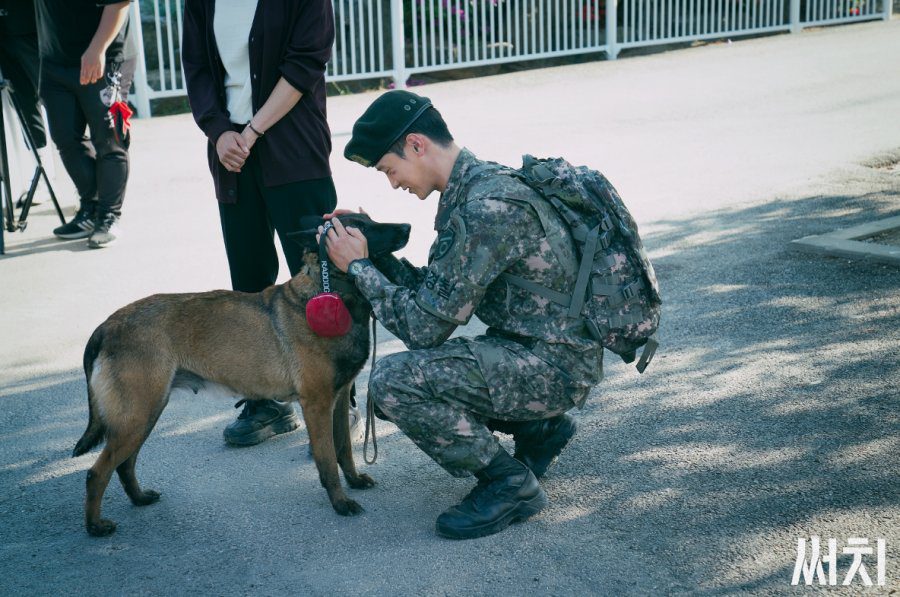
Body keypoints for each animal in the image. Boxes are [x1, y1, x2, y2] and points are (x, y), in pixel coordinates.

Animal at [74, 213, 412, 536]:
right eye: (362, 228)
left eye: (370, 220)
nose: (407, 226)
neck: (330, 294)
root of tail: (107, 325)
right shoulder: (317, 405)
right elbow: (328, 459)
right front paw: (340, 502)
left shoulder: (338, 400)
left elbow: (344, 450)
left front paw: (354, 481)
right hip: (137, 417)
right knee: (97, 472)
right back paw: (94, 526)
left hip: (143, 416)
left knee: (124, 465)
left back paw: (139, 498)